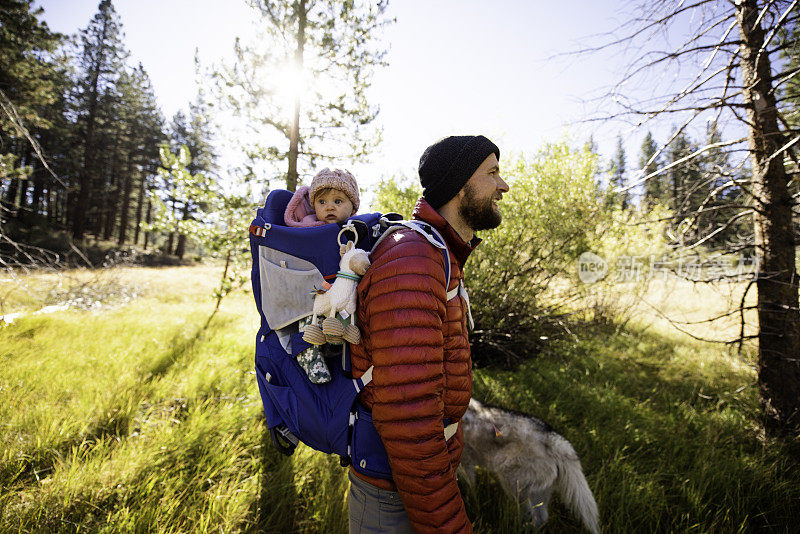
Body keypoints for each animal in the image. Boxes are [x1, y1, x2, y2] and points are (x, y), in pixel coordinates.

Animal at [460, 400, 596, 532]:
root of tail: (554, 439)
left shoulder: (466, 464)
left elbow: (470, 491)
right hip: (535, 493)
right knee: (541, 519)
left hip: (512, 484)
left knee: (528, 515)